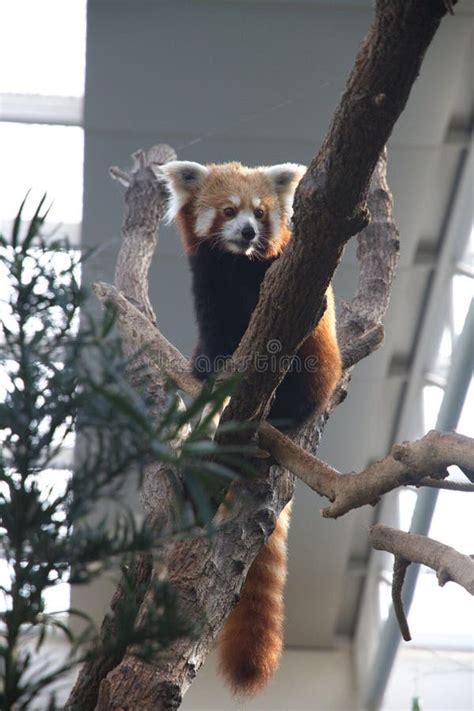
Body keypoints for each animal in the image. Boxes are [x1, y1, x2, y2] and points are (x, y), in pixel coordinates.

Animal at [162, 160, 340, 696]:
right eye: (228, 211)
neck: (238, 266)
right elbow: (216, 336)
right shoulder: (209, 284)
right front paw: (210, 368)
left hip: (317, 366)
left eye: (259, 213)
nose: (247, 232)